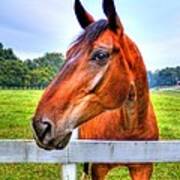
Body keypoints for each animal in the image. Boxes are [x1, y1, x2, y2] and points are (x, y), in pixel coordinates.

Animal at [31, 0, 158, 179]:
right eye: (68, 53)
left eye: (101, 55)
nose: (40, 126)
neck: (131, 132)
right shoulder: (99, 167)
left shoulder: (143, 168)